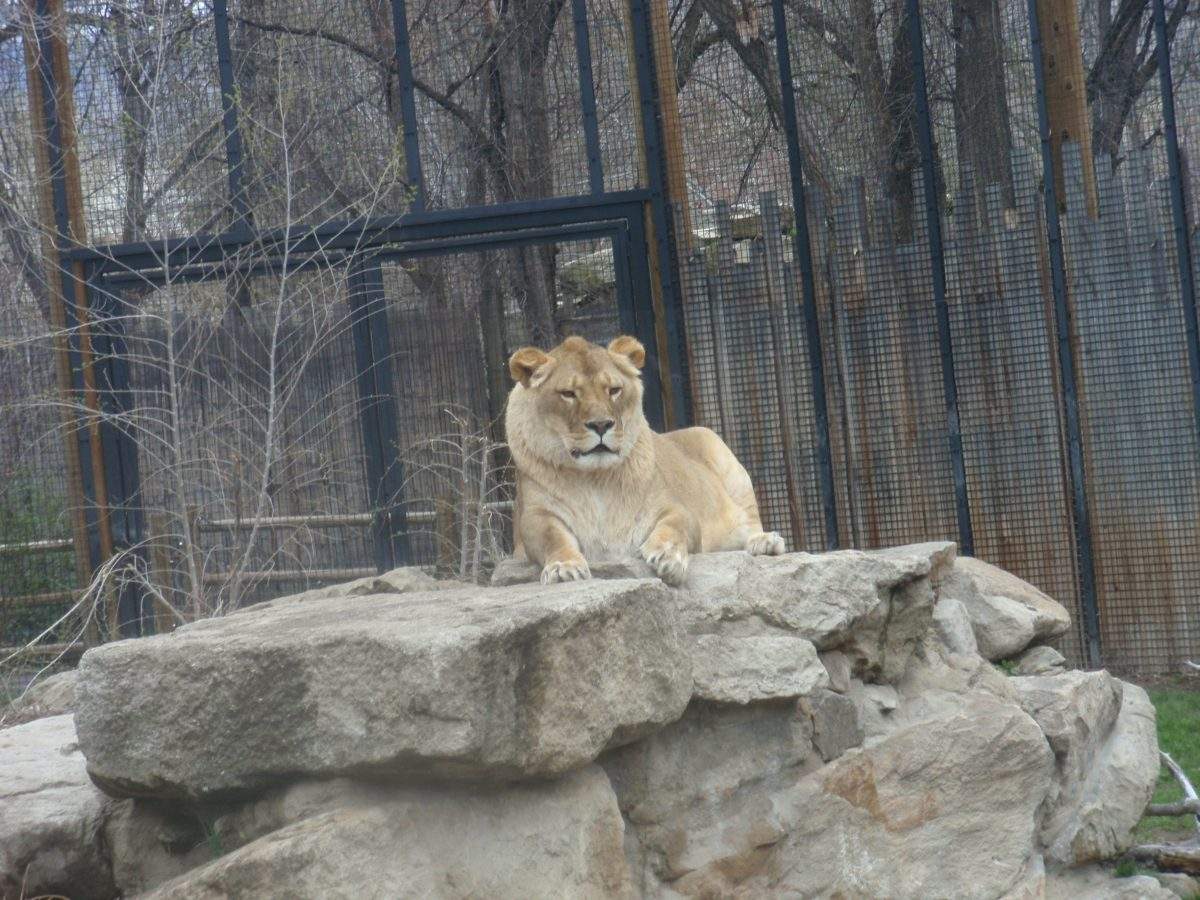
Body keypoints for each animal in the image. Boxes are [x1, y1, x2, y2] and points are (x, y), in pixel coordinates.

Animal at [504, 334, 785, 586]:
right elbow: (551, 537)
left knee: (750, 524)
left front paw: (668, 557)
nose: (601, 424)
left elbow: (675, 526)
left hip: (719, 450)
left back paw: (765, 542)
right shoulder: (533, 519)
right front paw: (564, 567)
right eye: (568, 393)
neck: (594, 478)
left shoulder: (674, 508)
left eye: (614, 390)